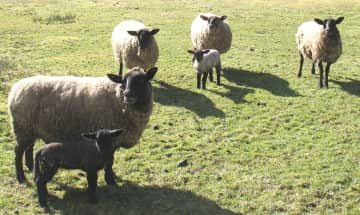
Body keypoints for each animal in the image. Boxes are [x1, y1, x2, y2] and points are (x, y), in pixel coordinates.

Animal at [8, 67, 158, 183]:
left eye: (142, 80)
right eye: (123, 81)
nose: (128, 94)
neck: (117, 97)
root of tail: (15, 90)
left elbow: (110, 159)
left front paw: (111, 177)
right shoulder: (110, 138)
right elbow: (110, 161)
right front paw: (111, 179)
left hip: (30, 129)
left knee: (29, 148)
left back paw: (31, 168)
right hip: (22, 128)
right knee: (18, 151)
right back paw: (21, 177)